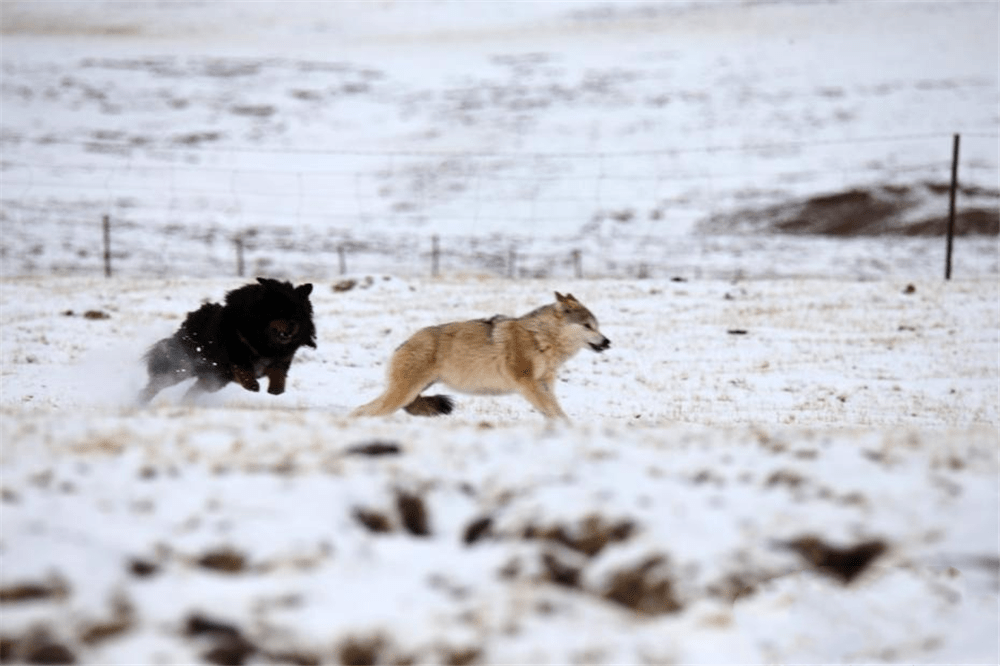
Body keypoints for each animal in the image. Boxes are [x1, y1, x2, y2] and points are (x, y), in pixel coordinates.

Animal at [139, 276, 314, 402]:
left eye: (298, 313)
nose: (292, 324)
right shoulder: (235, 352)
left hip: (214, 380)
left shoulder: (282, 358)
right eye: (279, 310)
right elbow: (242, 368)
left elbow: (278, 373)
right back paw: (140, 402)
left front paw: (276, 389)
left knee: (191, 392)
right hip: (183, 366)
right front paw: (252, 385)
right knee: (155, 385)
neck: (265, 342)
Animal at [352, 292, 608, 420]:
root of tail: (403, 343)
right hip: (404, 395)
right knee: (364, 410)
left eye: (597, 326)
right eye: (587, 326)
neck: (540, 338)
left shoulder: (544, 386)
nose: (608, 342)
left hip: (411, 394)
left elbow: (555, 412)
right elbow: (556, 413)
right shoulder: (529, 385)